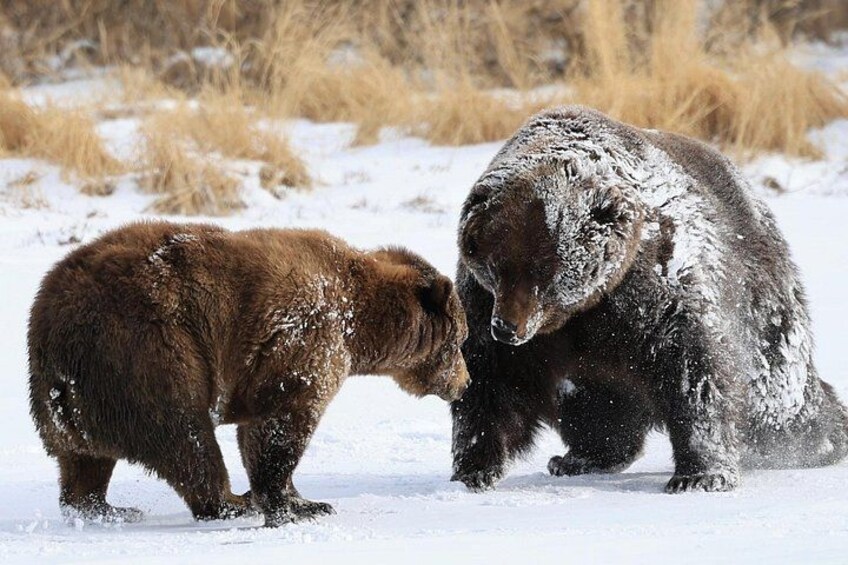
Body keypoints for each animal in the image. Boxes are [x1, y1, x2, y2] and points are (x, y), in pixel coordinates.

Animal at [28, 221, 469, 526]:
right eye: (461, 340)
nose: (465, 382)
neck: (359, 323)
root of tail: (50, 324)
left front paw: (304, 499)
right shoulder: (306, 336)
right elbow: (279, 422)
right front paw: (292, 505)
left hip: (70, 401)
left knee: (84, 461)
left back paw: (104, 507)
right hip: (149, 353)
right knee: (185, 436)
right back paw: (230, 503)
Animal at [450, 105, 848, 494]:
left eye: (544, 269)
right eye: (495, 264)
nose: (507, 327)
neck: (582, 309)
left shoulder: (649, 287)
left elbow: (692, 367)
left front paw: (700, 475)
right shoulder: (490, 306)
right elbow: (489, 380)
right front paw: (475, 468)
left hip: (757, 294)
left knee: (777, 391)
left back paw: (827, 437)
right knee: (595, 404)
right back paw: (580, 457)